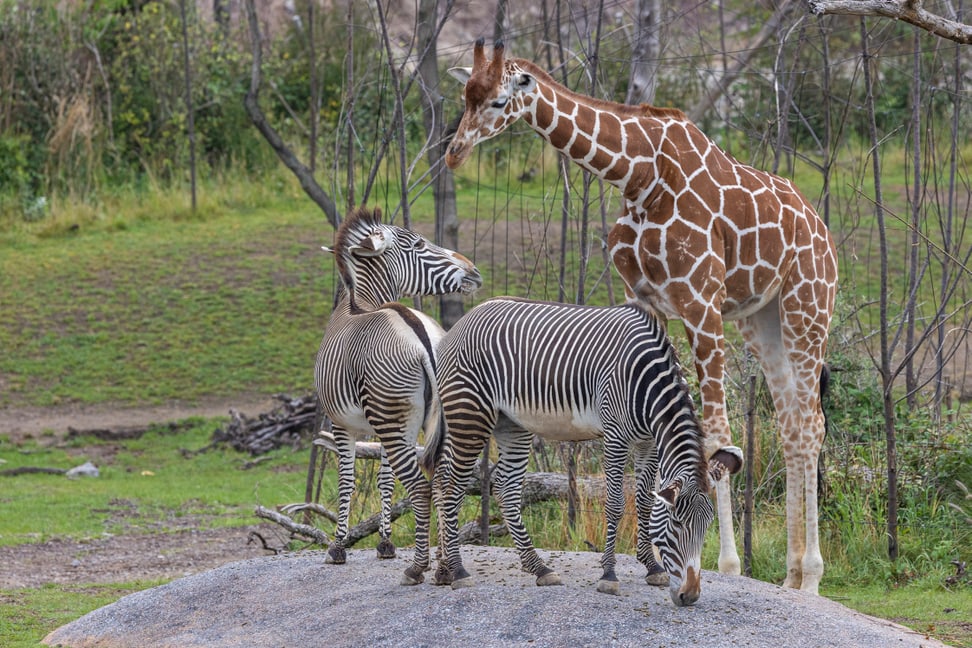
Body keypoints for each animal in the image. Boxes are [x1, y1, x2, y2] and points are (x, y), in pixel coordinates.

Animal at [316, 208, 482, 588]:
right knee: (444, 482)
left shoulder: (344, 425)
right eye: (419, 244)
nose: (474, 271)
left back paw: (419, 568)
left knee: (420, 488)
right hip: (437, 418)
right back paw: (445, 567)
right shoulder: (377, 427)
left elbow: (346, 481)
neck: (360, 304)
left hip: (394, 422)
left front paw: (338, 547)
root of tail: (425, 342)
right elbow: (383, 479)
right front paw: (385, 542)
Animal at [422, 298, 740, 608]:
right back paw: (458, 571)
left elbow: (645, 503)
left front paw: (652, 567)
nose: (691, 596)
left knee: (496, 487)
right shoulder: (615, 437)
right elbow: (615, 505)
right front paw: (609, 574)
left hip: (510, 423)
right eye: (677, 524)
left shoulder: (648, 442)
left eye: (706, 527)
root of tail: (461, 322)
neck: (648, 381)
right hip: (469, 412)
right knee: (451, 486)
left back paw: (519, 568)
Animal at [444, 39, 840, 592]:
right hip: (761, 320)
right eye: (465, 96)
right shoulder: (647, 299)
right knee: (789, 424)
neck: (639, 176)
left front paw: (726, 564)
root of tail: (822, 228)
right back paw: (790, 574)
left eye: (499, 101)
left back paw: (812, 576)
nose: (454, 153)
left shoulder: (701, 300)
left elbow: (716, 431)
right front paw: (649, 557)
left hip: (808, 306)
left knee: (811, 424)